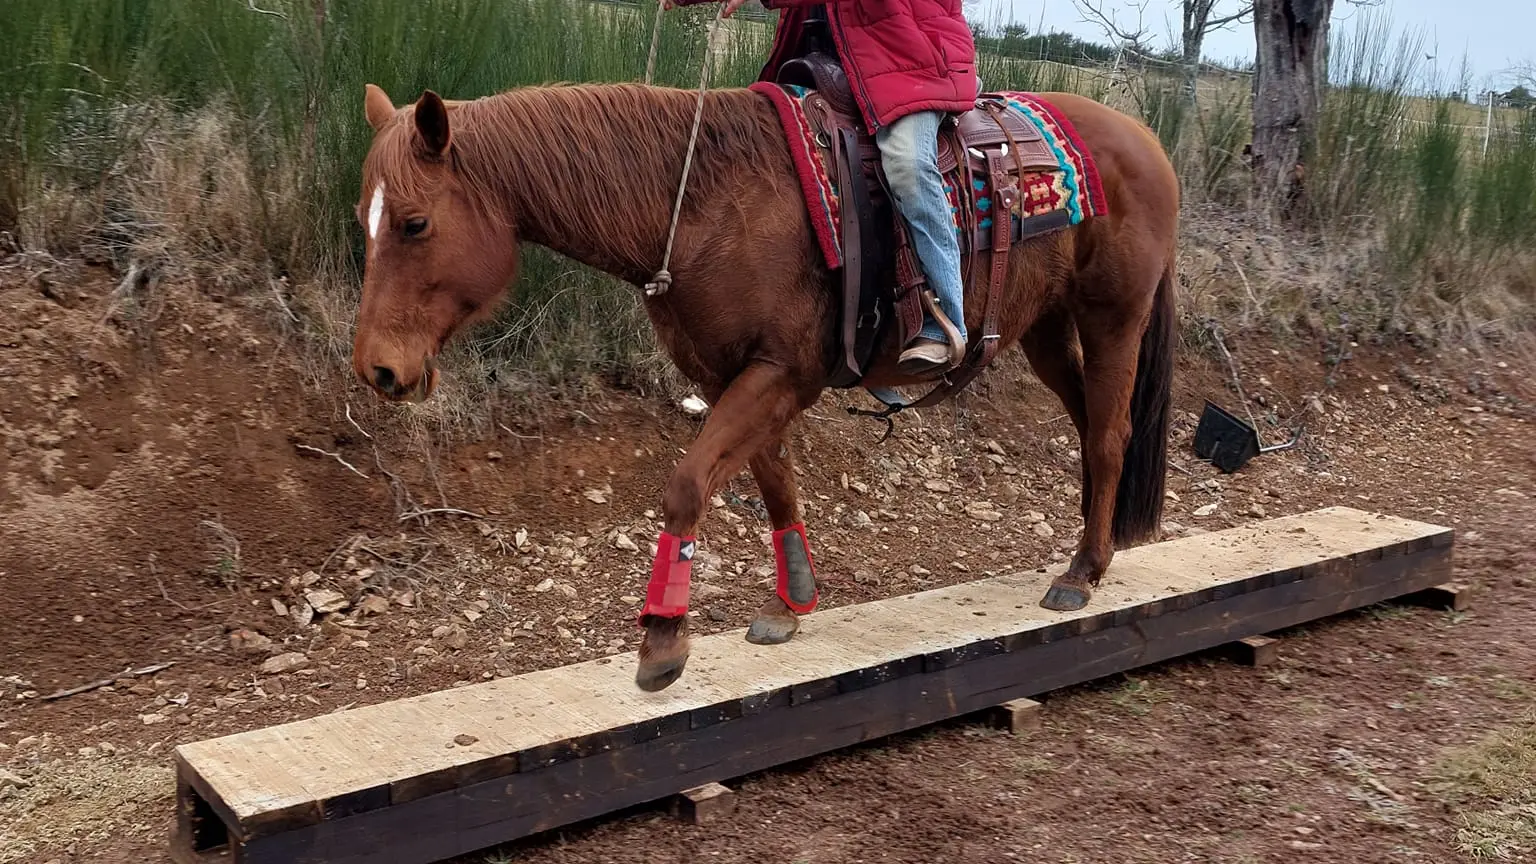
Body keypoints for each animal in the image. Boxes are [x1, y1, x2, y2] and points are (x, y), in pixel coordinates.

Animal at [353, 79, 1179, 685]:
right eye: (368, 219)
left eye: (415, 223)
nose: (377, 368)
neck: (707, 204)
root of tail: (1144, 138)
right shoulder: (737, 376)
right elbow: (771, 479)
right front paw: (793, 603)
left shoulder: (782, 372)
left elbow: (688, 483)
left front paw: (663, 638)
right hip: (1043, 327)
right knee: (1090, 424)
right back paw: (1094, 546)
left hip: (1113, 317)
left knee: (1108, 435)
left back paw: (1083, 571)